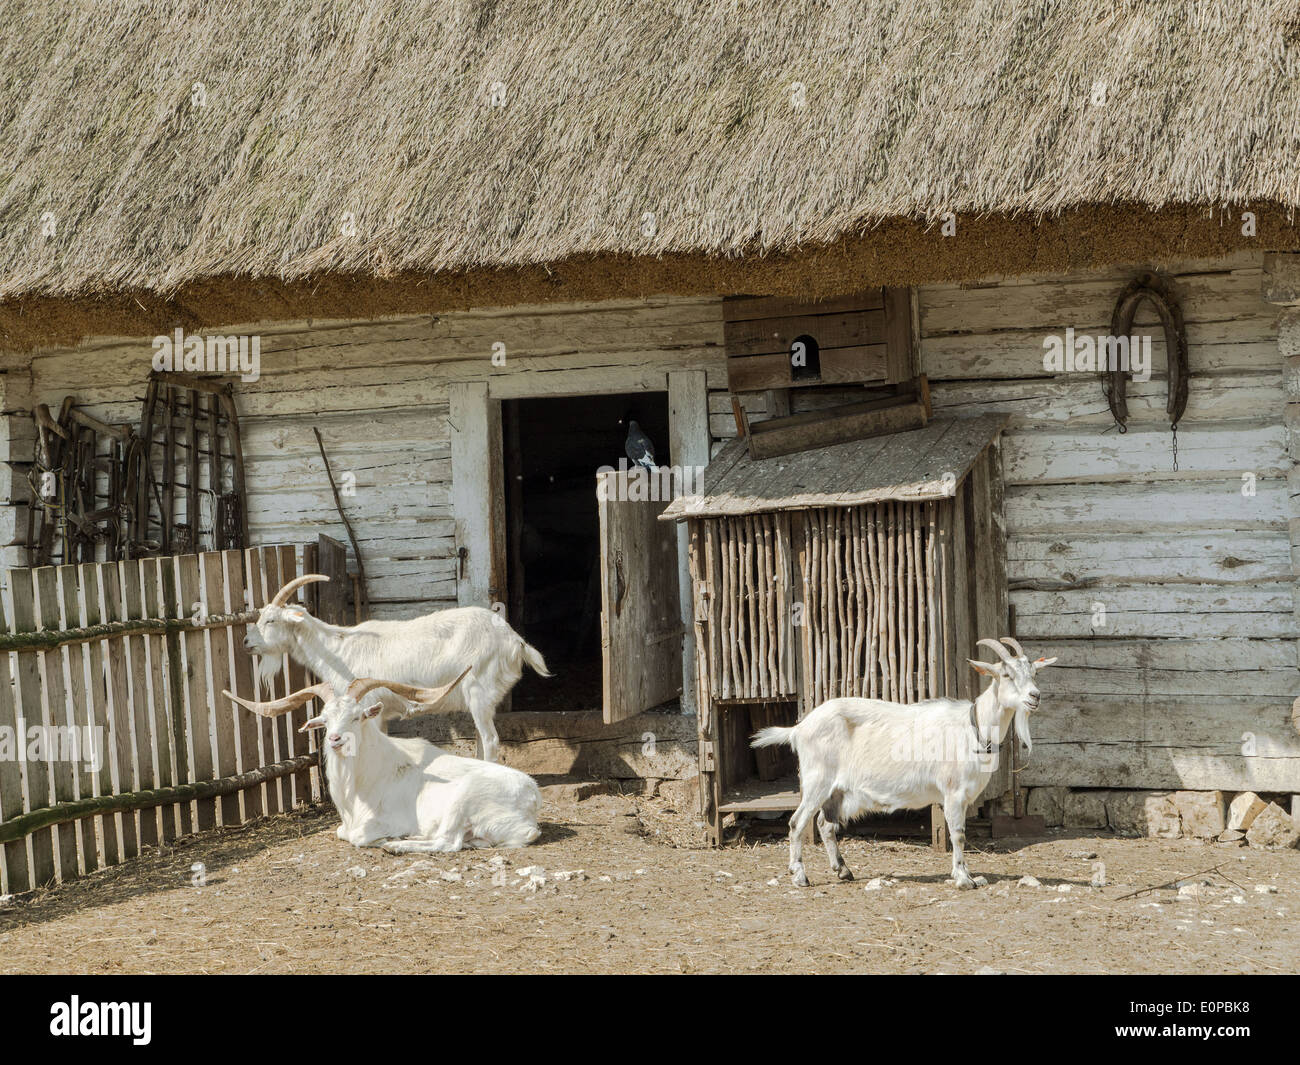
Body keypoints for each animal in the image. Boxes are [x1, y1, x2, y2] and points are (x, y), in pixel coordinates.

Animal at [226, 670, 540, 853]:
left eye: (357, 716)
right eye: (324, 720)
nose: (336, 739)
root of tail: (531, 803)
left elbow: (357, 837)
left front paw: (387, 839)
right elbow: (342, 832)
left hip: (463, 800)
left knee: (448, 842)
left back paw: (396, 845)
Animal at [241, 579, 551, 764]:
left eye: (270, 620)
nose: (246, 642)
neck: (337, 649)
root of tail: (515, 641)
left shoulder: (367, 705)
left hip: (480, 691)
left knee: (491, 740)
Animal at [754, 642, 1055, 889]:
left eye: (1034, 673)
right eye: (1006, 675)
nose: (1035, 696)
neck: (974, 727)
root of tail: (799, 728)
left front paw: (966, 875)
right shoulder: (953, 793)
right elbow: (958, 835)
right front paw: (962, 878)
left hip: (836, 790)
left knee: (825, 824)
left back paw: (843, 870)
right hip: (817, 780)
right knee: (797, 822)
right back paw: (800, 876)